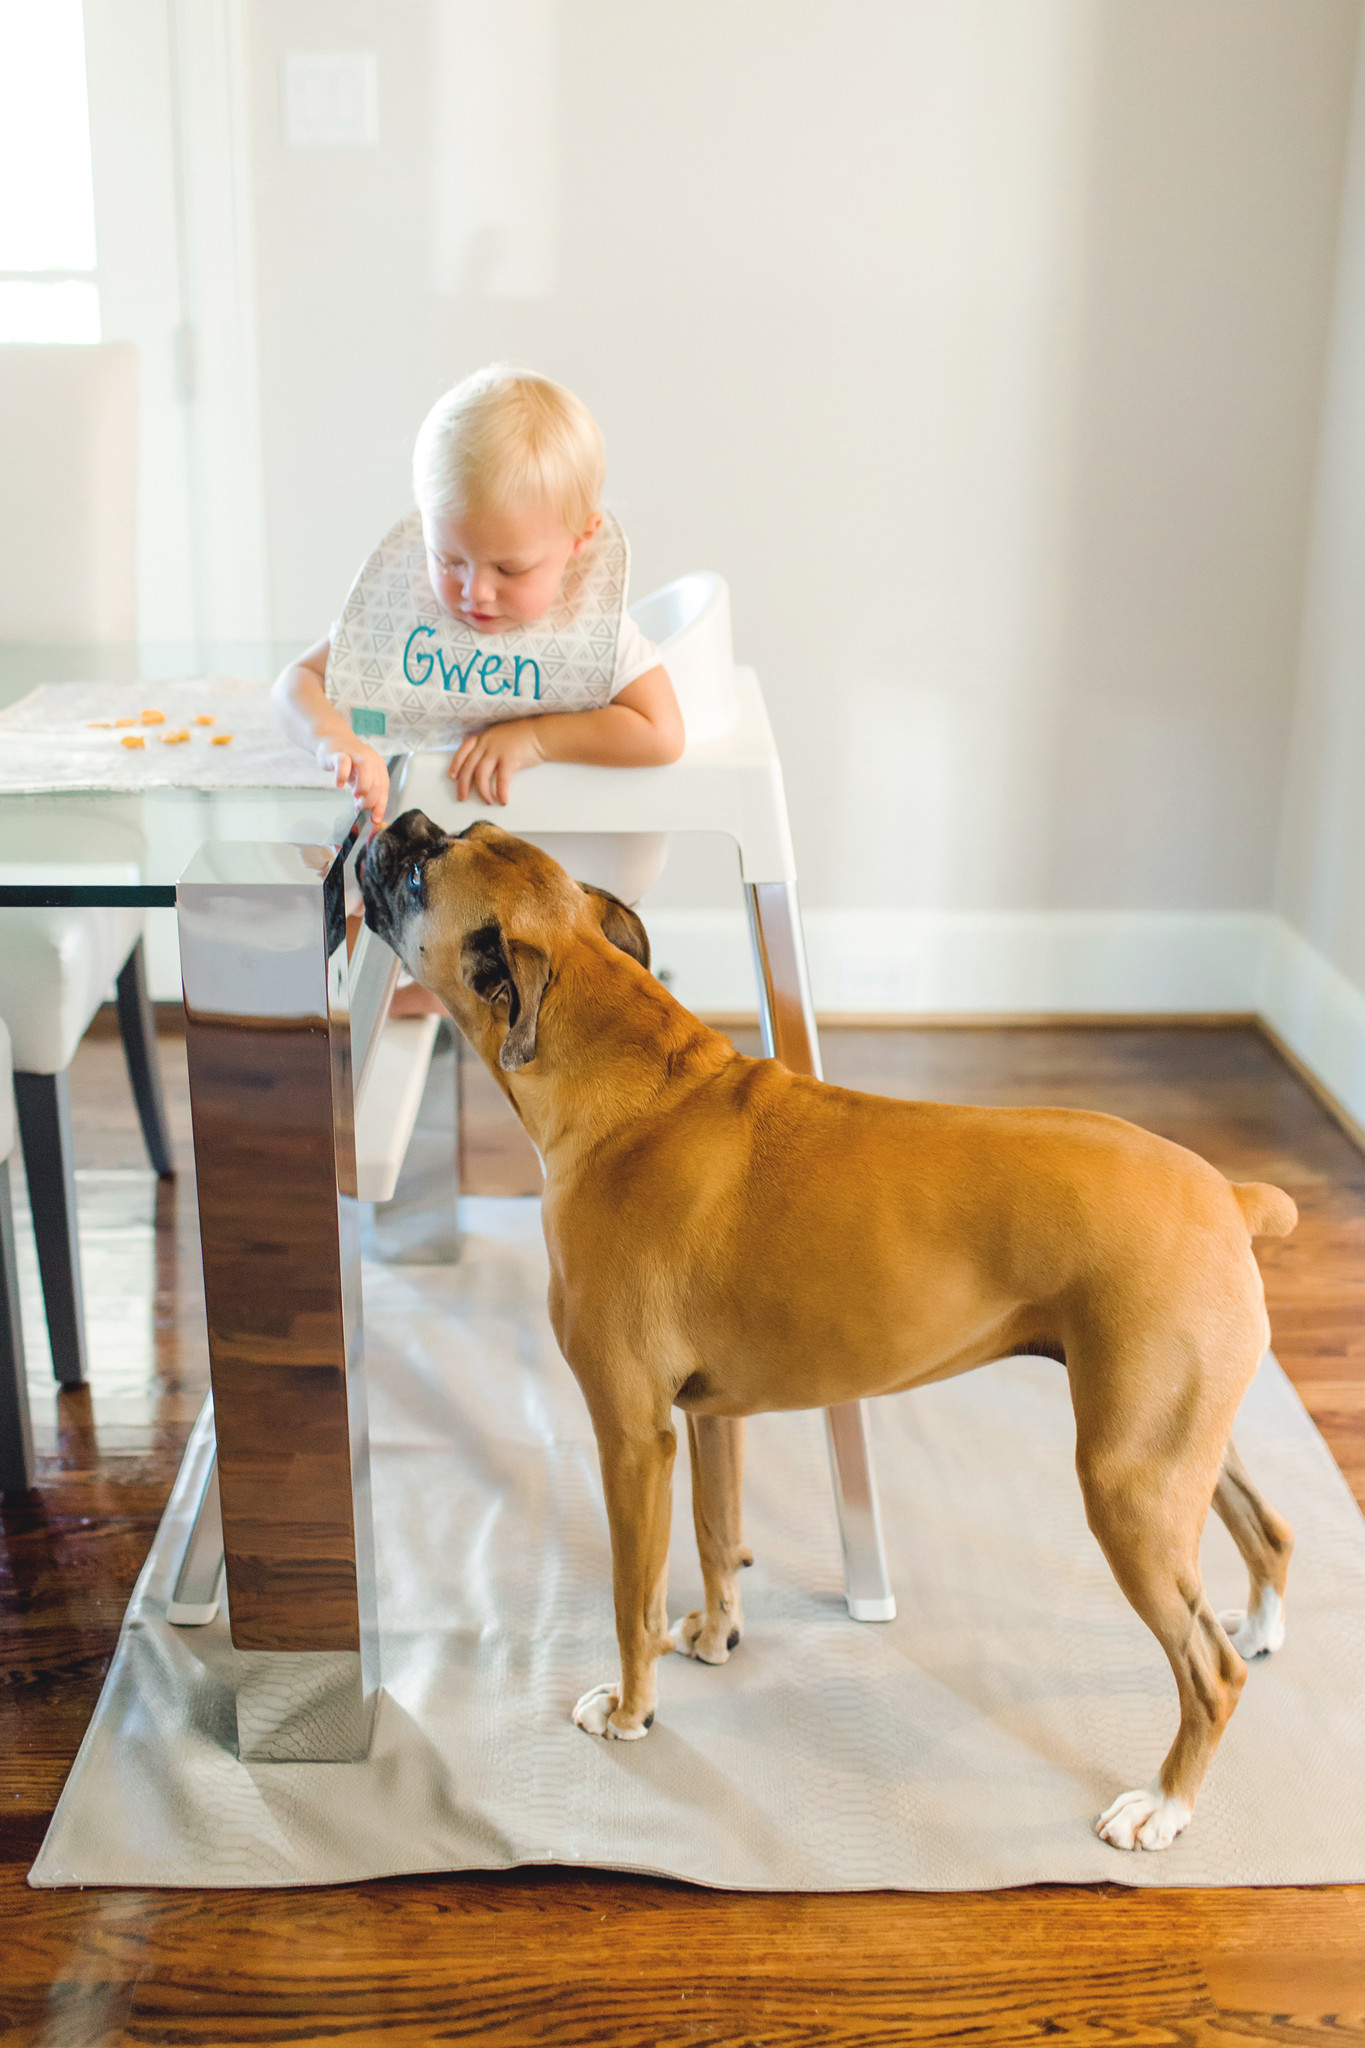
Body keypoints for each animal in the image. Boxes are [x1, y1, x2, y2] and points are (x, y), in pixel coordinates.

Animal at [358, 806, 1301, 1851]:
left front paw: (634, 1709)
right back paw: (1261, 1627)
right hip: (1177, 1449)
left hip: (1126, 1485)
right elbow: (715, 1534)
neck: (634, 1087)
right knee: (1270, 1532)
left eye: (424, 871)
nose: (401, 821)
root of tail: (1227, 1193)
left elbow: (629, 1596)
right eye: (467, 825)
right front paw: (716, 1635)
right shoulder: (706, 1420)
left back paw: (1164, 1803)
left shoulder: (632, 1438)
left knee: (1207, 1671)